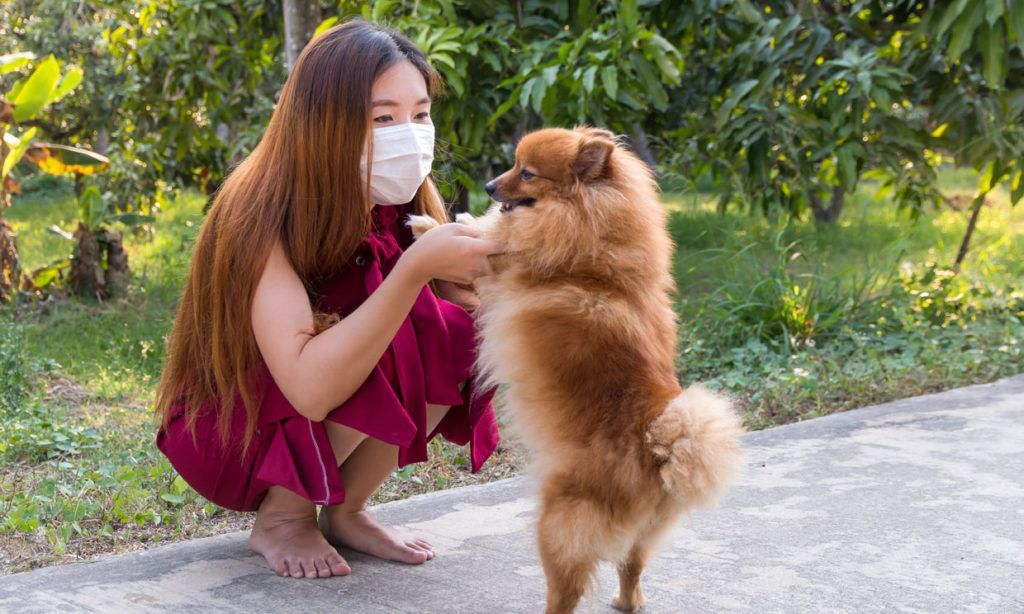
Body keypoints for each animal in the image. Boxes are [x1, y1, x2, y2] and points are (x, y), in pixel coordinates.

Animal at [407, 125, 745, 614]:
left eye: (526, 173)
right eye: (512, 164)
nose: (489, 186)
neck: (592, 250)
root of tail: (658, 449)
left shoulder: (499, 272)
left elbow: (488, 246)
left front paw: (429, 228)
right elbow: (489, 231)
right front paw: (463, 219)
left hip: (560, 523)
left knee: (566, 588)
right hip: (642, 535)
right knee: (632, 566)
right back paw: (627, 602)